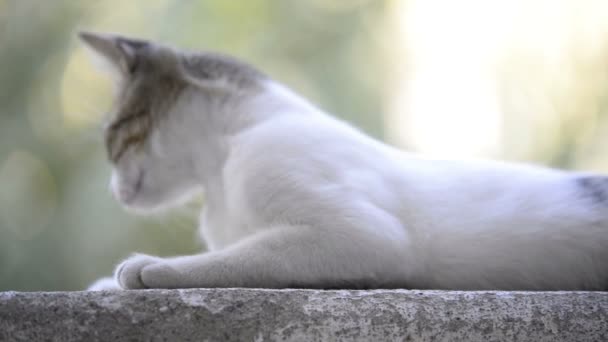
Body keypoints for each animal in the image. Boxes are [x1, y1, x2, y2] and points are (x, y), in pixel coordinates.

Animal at [81, 31, 608, 292]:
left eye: (114, 135)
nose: (112, 192)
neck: (221, 163)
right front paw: (105, 283)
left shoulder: (368, 236)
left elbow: (243, 256)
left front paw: (151, 268)